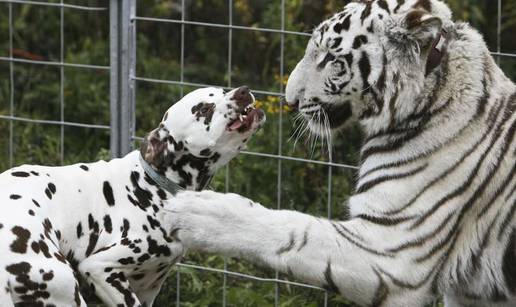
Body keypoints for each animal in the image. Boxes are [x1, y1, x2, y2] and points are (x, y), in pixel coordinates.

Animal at [0, 85, 266, 307]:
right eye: (203, 109)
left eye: (223, 90)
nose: (243, 91)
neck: (150, 186)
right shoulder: (101, 269)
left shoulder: (149, 288)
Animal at [163, 1, 512, 306]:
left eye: (331, 58)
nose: (289, 100)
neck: (429, 94)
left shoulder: (393, 251)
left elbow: (293, 228)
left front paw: (196, 210)